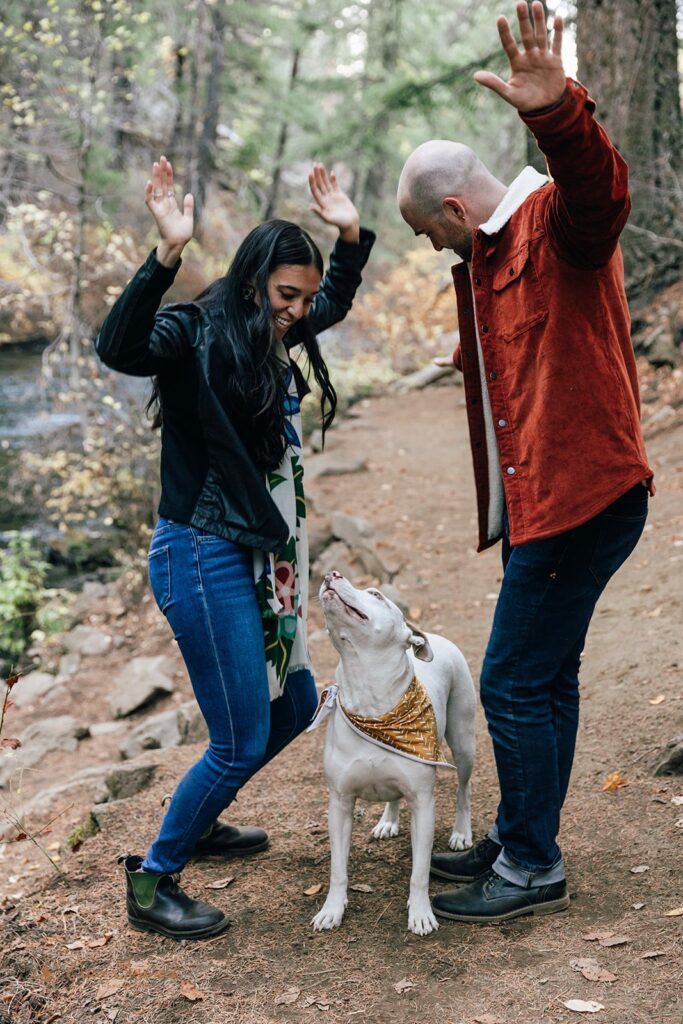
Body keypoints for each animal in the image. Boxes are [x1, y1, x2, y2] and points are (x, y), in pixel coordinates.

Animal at [309, 573, 475, 933]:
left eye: (375, 594)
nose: (331, 574)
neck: (373, 705)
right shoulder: (339, 803)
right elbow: (338, 869)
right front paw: (332, 909)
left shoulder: (424, 804)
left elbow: (420, 872)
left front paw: (421, 913)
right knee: (393, 795)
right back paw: (388, 821)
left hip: (463, 741)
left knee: (463, 789)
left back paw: (461, 832)